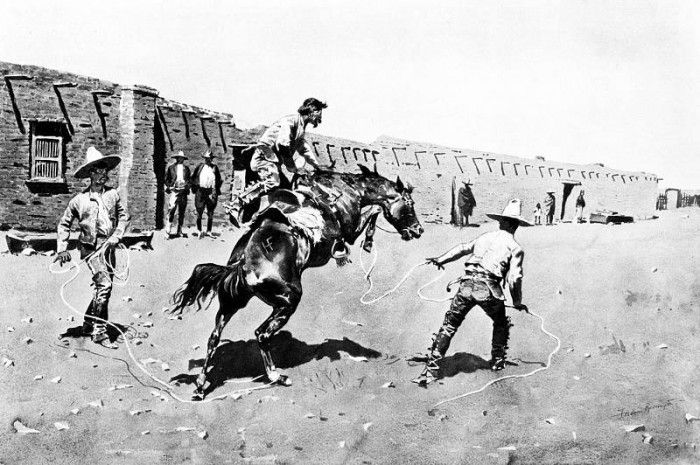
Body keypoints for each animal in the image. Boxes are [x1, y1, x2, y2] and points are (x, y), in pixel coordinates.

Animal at [170, 164, 424, 398]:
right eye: (409, 204)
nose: (418, 230)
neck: (346, 192)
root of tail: (242, 264)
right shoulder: (349, 231)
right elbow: (372, 213)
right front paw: (368, 242)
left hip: (232, 302)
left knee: (214, 338)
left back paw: (201, 385)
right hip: (287, 302)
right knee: (261, 334)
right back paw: (277, 376)